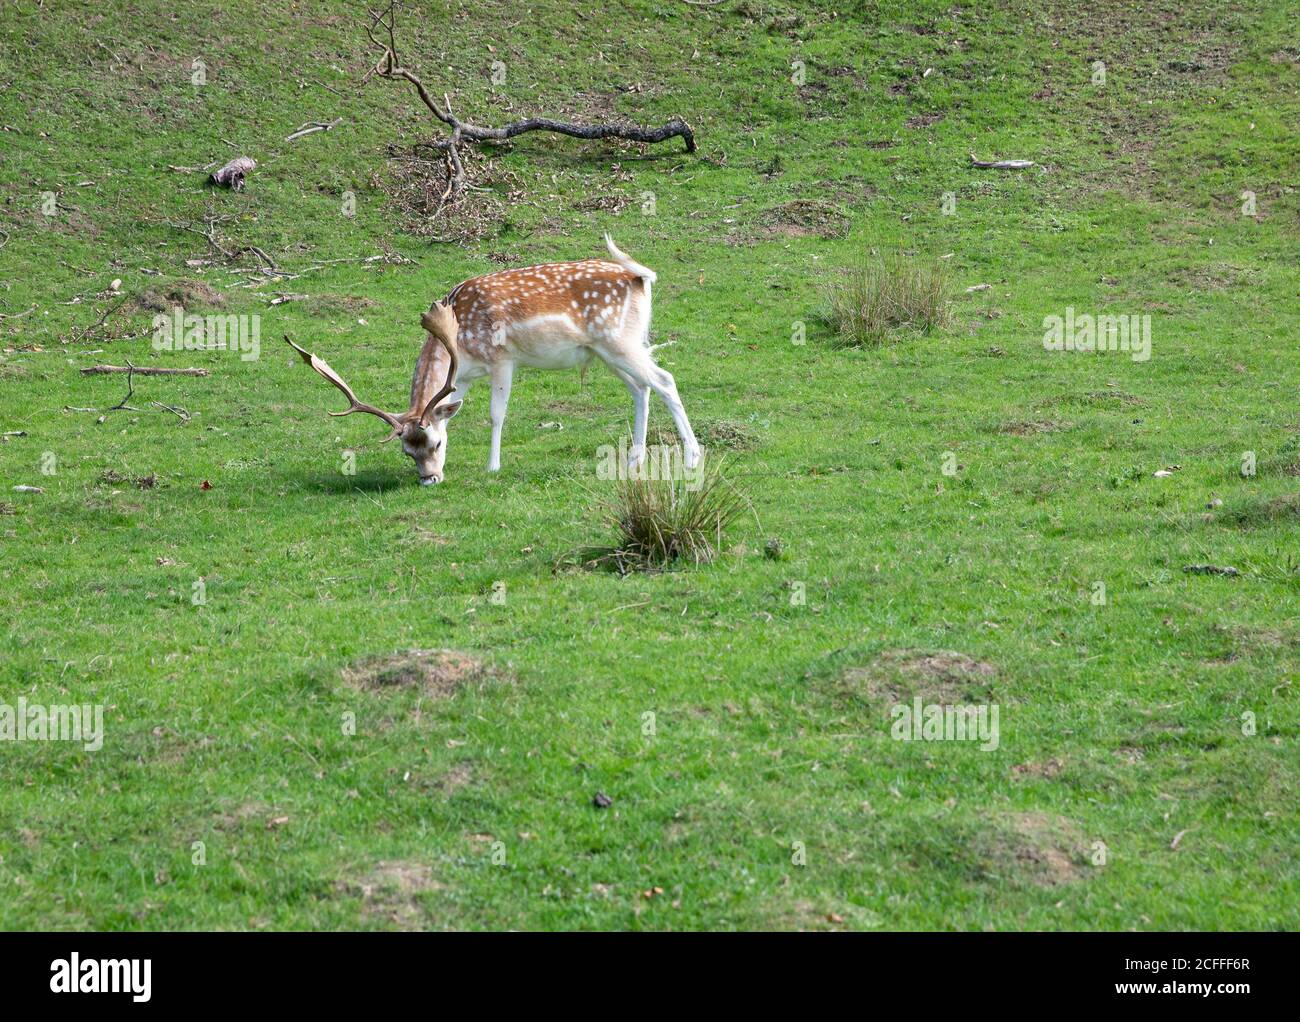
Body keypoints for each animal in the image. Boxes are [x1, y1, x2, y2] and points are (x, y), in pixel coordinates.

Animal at [287, 236, 702, 483]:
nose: (429, 479)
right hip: (609, 349)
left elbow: (496, 414)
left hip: (619, 342)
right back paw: (634, 462)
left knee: (664, 380)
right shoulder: (465, 375)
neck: (460, 337)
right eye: (407, 451)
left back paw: (693, 458)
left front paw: (493, 466)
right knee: (641, 388)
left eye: (435, 444)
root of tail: (643, 277)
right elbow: (453, 408)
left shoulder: (502, 358)